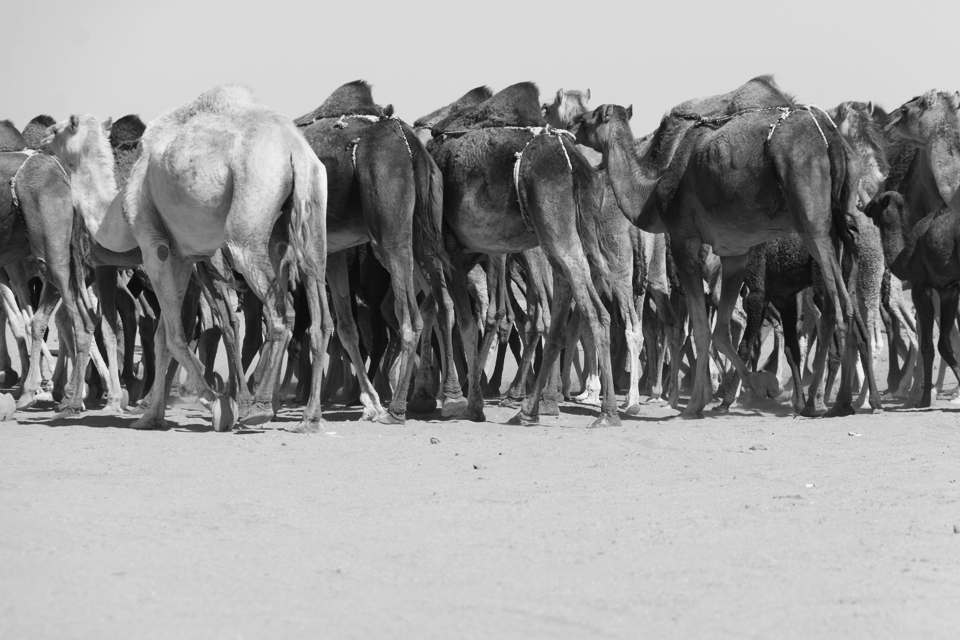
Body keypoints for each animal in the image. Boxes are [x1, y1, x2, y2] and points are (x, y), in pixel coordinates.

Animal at [112, 85, 332, 432]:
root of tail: (295, 149)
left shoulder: (155, 245)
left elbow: (178, 333)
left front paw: (211, 398)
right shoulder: (184, 255)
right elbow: (165, 333)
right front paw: (151, 414)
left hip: (245, 230)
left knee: (281, 314)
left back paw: (259, 406)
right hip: (310, 214)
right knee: (320, 318)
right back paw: (309, 417)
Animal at [295, 80, 457, 423]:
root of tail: (411, 146)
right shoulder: (333, 251)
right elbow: (344, 327)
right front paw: (369, 402)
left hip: (388, 233)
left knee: (409, 315)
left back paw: (397, 408)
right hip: (424, 227)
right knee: (443, 302)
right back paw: (452, 398)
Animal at [423, 82, 619, 428]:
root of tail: (574, 162)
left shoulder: (449, 253)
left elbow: (456, 319)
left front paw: (464, 402)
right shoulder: (471, 256)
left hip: (554, 231)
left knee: (591, 311)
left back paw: (605, 413)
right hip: (567, 236)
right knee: (561, 317)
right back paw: (531, 410)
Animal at [574, 76, 866, 418]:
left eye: (590, 117)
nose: (574, 126)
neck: (652, 195)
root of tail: (830, 136)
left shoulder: (684, 240)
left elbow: (702, 328)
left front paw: (695, 405)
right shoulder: (734, 252)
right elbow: (722, 330)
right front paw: (753, 387)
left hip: (812, 218)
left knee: (838, 306)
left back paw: (832, 403)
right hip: (837, 224)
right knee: (838, 305)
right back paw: (823, 401)